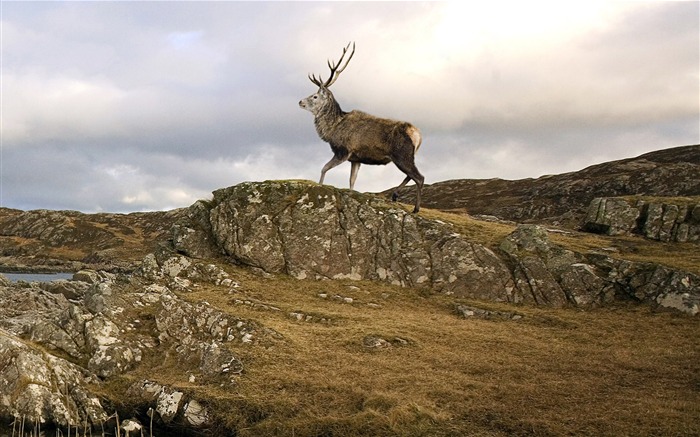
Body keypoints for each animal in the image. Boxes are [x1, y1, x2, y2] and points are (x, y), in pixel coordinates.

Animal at [298, 41, 424, 212]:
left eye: (315, 96)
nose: (300, 102)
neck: (332, 130)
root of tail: (418, 135)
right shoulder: (356, 158)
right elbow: (352, 181)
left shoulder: (343, 151)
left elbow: (323, 168)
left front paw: (319, 186)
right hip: (408, 156)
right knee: (411, 175)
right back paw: (395, 195)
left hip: (402, 154)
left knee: (419, 177)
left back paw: (416, 208)